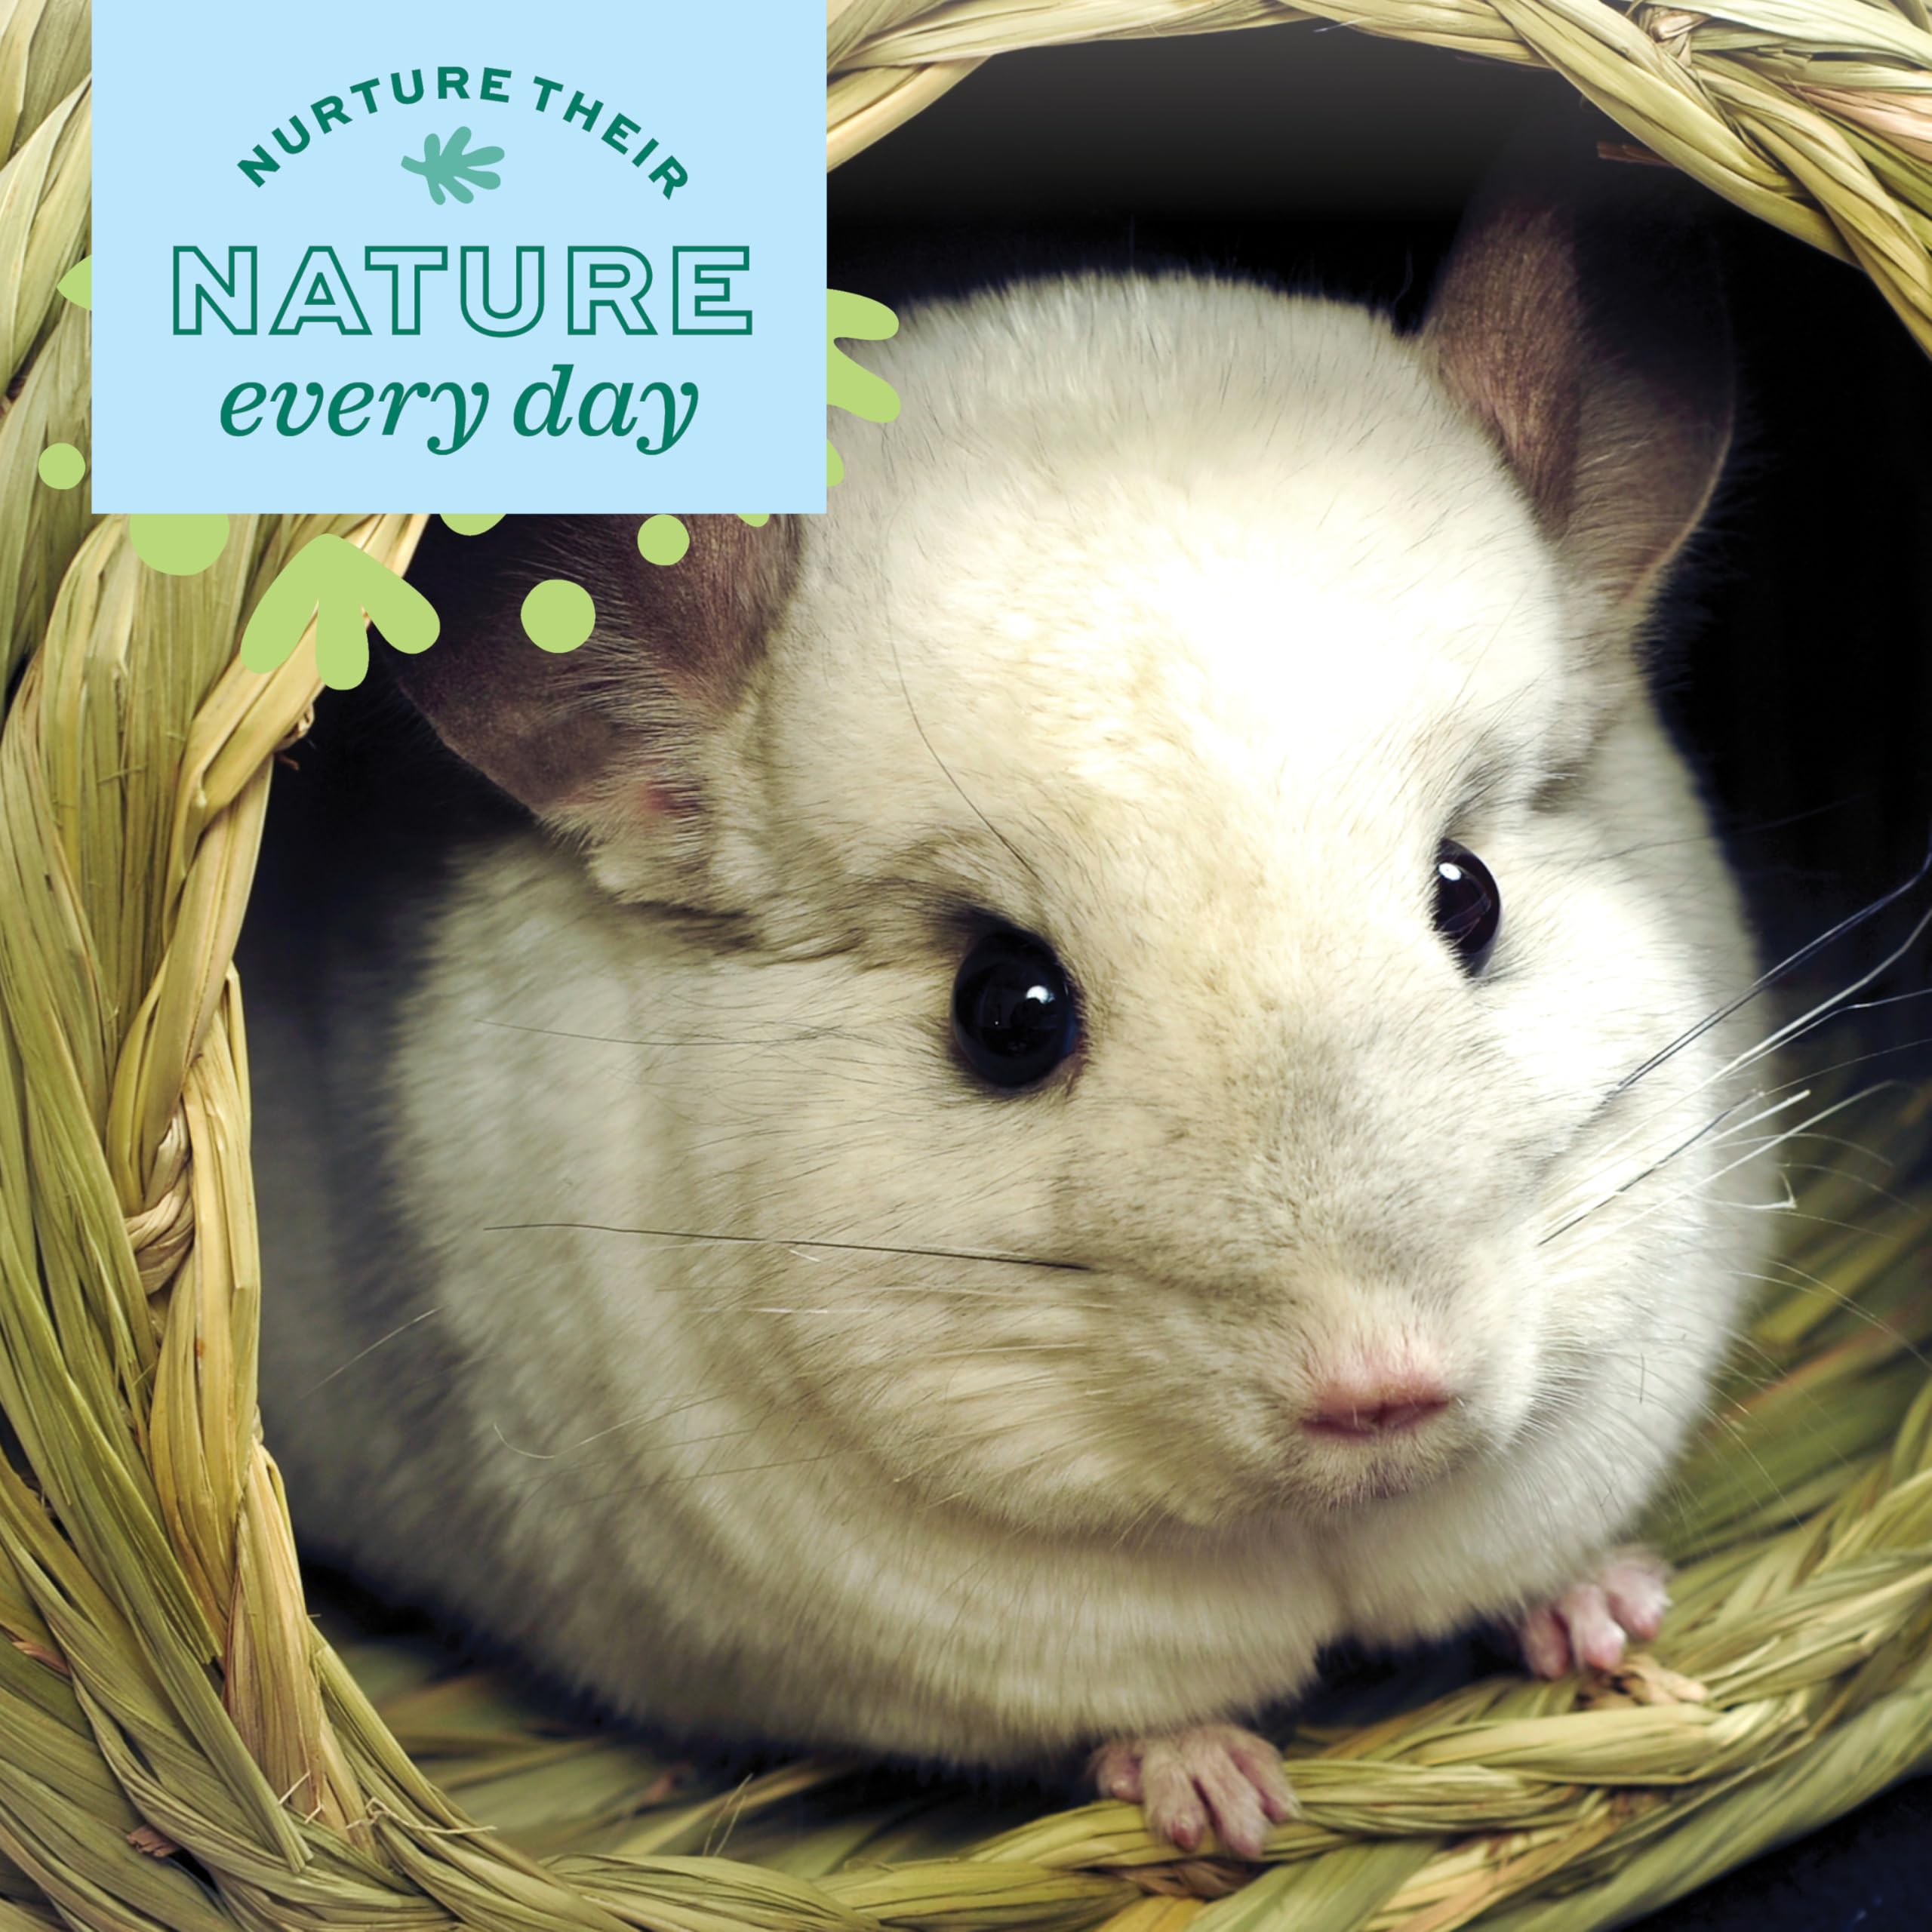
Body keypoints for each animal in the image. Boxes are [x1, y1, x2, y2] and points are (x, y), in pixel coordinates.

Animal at [245, 170, 1778, 1861]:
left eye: (1470, 893)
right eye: (1005, 1009)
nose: (1380, 1388)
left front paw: (1610, 1612)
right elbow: (1114, 1725)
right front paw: (1216, 1794)